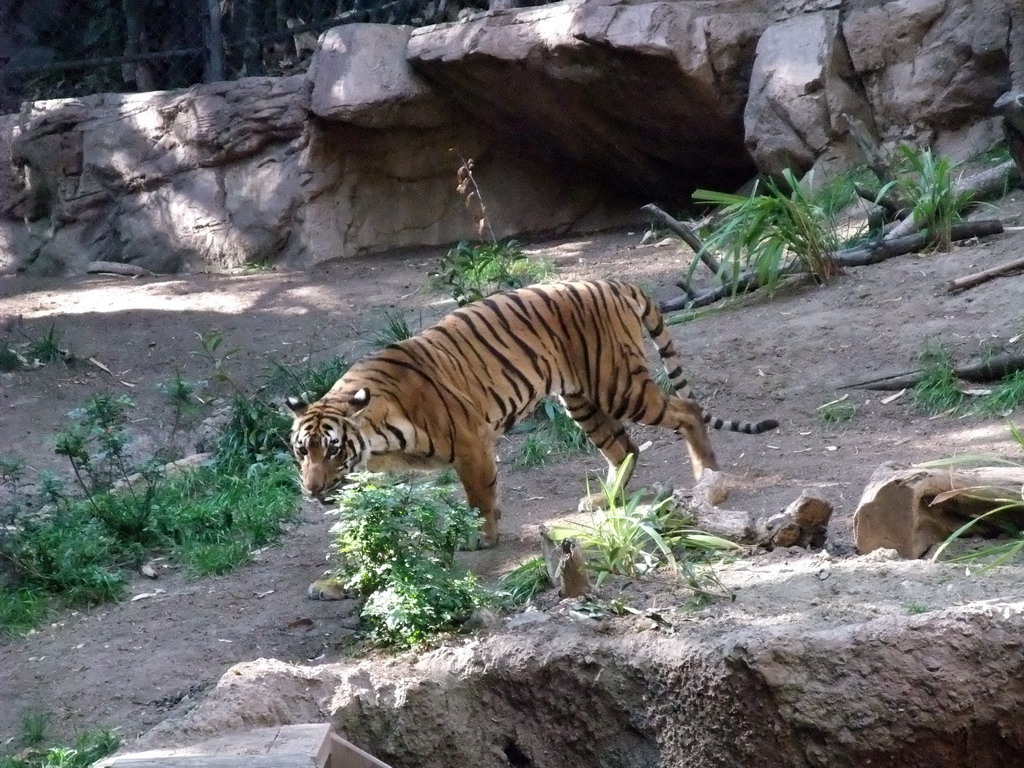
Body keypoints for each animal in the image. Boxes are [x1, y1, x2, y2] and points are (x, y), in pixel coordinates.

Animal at [288, 280, 774, 557]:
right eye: (301, 453)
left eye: (333, 449)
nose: (311, 491)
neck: (378, 437)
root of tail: (611, 281)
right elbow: (374, 515)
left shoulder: (471, 443)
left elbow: (479, 497)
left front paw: (482, 538)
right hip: (581, 399)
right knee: (625, 445)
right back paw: (605, 500)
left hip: (618, 385)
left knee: (685, 410)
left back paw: (707, 474)